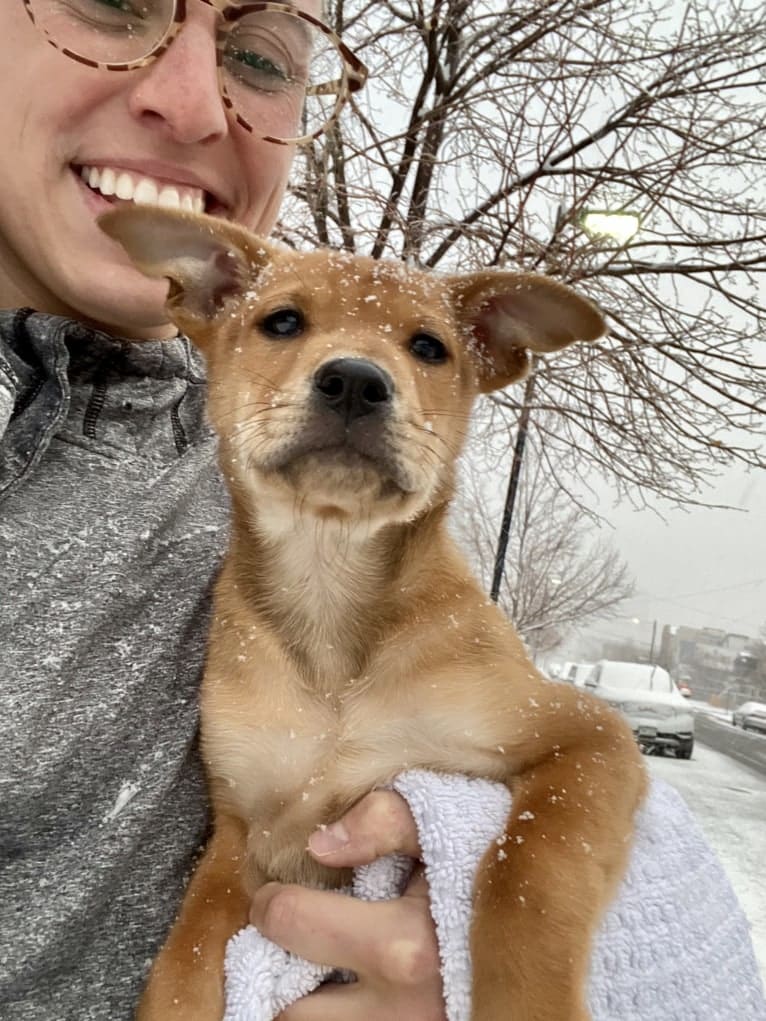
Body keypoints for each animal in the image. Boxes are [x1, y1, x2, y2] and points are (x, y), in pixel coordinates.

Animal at [99, 207, 645, 1021]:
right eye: (282, 321)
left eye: (429, 346)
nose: (356, 380)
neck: (330, 595)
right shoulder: (244, 830)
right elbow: (190, 950)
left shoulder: (583, 734)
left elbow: (530, 866)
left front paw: (525, 996)